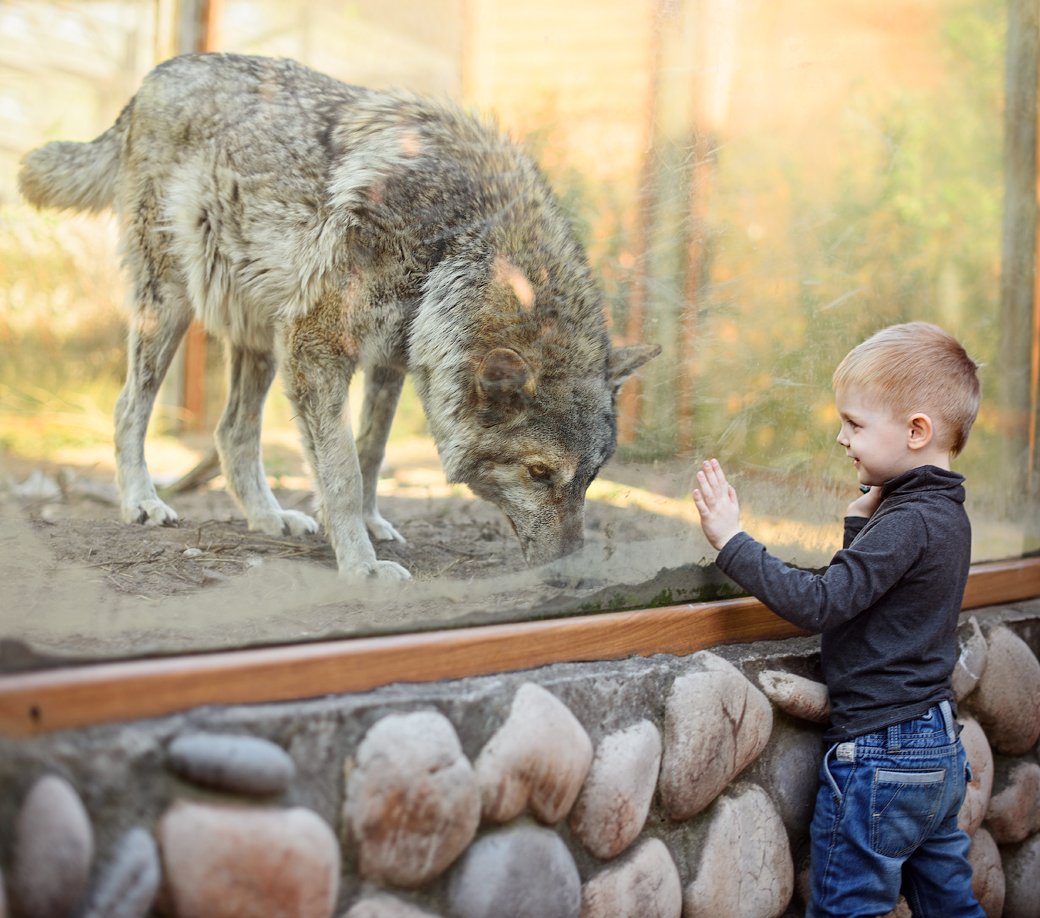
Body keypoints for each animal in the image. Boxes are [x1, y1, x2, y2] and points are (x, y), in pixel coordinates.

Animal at [20, 53, 657, 582]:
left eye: (590, 478)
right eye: (539, 473)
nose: (573, 575)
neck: (460, 241)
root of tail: (153, 77)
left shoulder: (396, 359)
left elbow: (370, 453)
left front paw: (368, 528)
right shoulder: (318, 345)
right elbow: (343, 469)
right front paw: (360, 563)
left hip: (261, 335)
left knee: (232, 432)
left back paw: (269, 518)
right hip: (172, 307)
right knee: (130, 406)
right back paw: (143, 502)